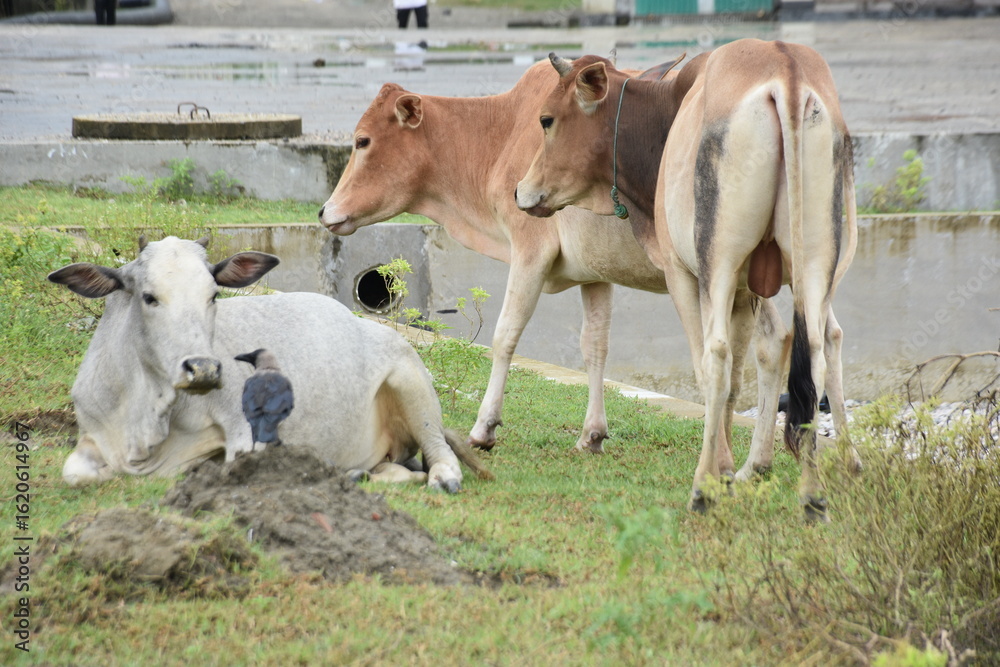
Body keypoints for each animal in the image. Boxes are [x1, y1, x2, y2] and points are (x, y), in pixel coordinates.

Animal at [48, 235, 489, 492]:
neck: (144, 416)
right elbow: (74, 473)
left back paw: (438, 476)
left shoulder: (247, 435)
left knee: (437, 459)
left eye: (213, 295)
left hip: (412, 384)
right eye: (149, 296)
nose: (203, 369)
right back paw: (356, 473)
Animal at [317, 59, 781, 465]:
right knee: (752, 363)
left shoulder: (530, 252)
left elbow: (505, 335)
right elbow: (594, 347)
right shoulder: (596, 274)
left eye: (362, 141)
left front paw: (484, 428)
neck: (502, 135)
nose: (324, 211)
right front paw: (592, 434)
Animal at [515, 41, 860, 521]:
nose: (520, 191)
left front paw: (720, 473)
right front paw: (737, 466)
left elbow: (714, 369)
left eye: (546, 119)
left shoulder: (685, 273)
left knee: (717, 356)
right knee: (819, 347)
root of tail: (786, 69)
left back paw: (701, 490)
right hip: (814, 265)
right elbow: (749, 372)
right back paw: (816, 492)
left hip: (716, 261)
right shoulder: (747, 289)